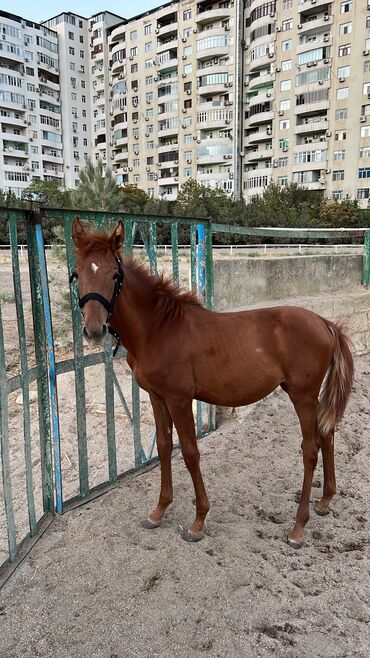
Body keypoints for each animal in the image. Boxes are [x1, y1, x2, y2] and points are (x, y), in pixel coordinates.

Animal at [71, 218, 352, 544]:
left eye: (115, 274)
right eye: (78, 273)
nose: (94, 330)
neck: (159, 329)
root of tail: (324, 323)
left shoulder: (180, 399)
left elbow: (190, 453)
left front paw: (198, 521)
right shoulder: (157, 397)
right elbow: (165, 447)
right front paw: (158, 512)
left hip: (302, 395)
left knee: (310, 448)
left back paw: (298, 527)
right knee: (326, 434)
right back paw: (325, 501)